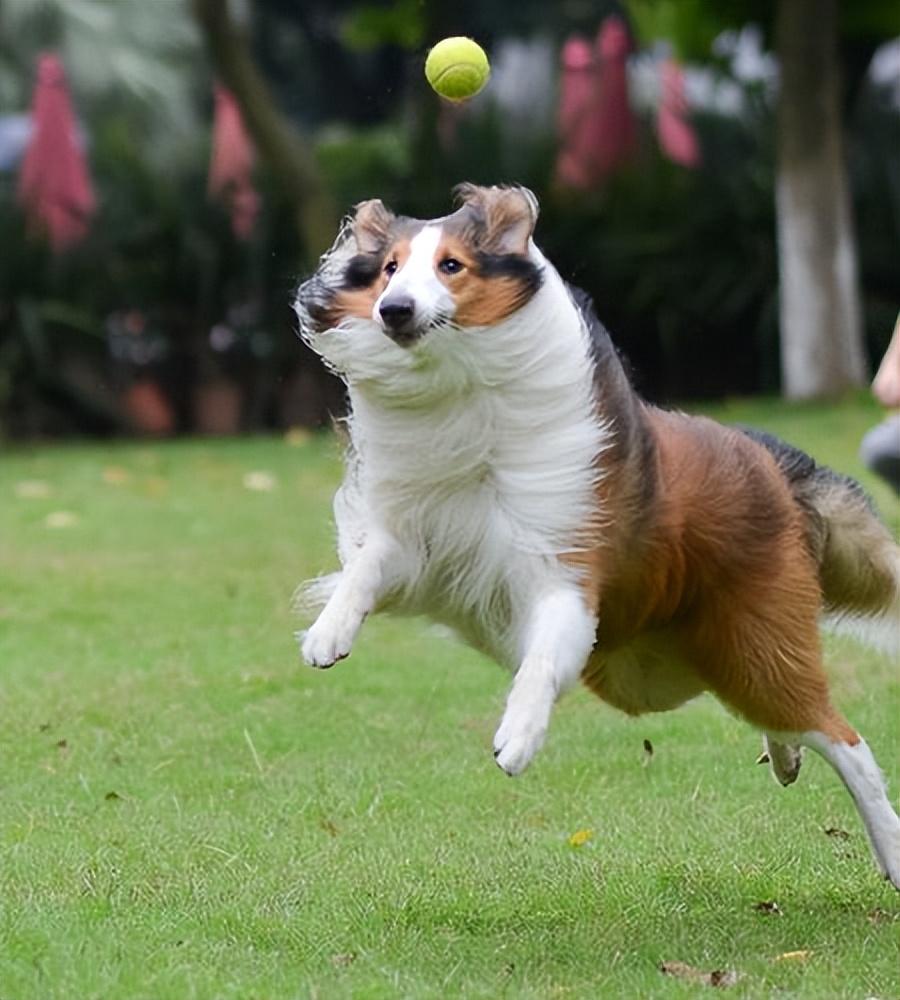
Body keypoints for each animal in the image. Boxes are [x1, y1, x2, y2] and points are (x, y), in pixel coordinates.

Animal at [298, 184, 900, 888]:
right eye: (389, 268)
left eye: (451, 265)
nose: (395, 310)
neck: (464, 388)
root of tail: (770, 463)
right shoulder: (423, 543)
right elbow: (366, 568)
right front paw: (327, 635)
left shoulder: (565, 570)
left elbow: (539, 660)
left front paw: (518, 737)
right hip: (663, 668)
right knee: (787, 724)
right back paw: (785, 759)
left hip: (756, 645)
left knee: (844, 739)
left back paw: (889, 848)